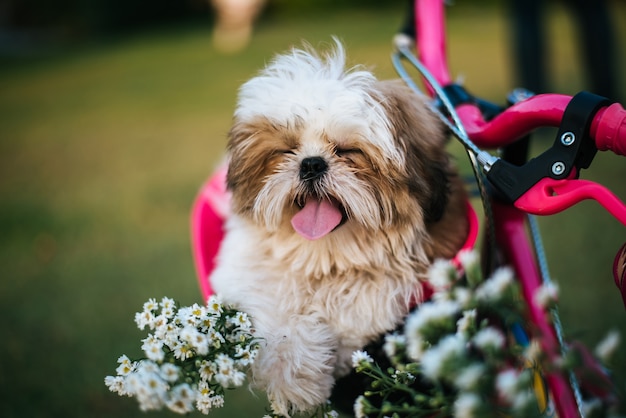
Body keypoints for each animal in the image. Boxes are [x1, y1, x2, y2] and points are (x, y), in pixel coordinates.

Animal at [211, 40, 468, 418]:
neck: (325, 253)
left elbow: (360, 301)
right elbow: (275, 310)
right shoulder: (247, 268)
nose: (311, 164)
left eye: (348, 151)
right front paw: (294, 378)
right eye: (287, 151)